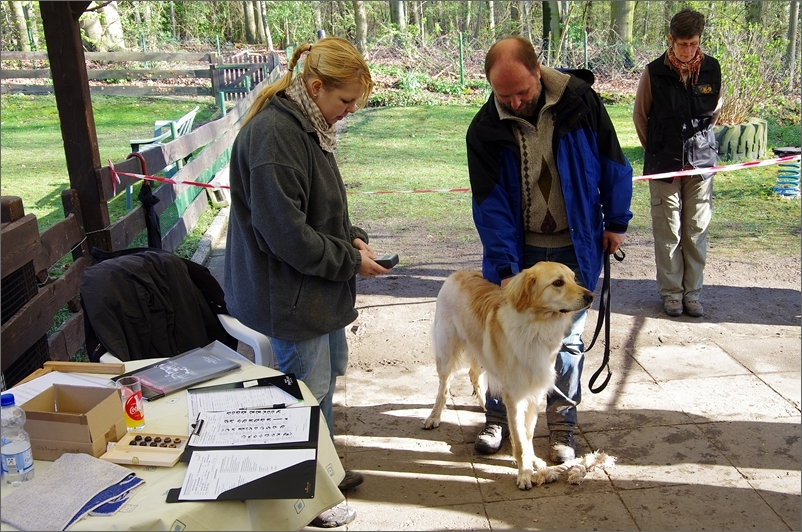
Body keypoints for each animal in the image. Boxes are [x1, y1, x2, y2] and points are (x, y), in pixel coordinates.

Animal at [422, 262, 592, 490]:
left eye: (574, 279)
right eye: (558, 283)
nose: (591, 296)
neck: (536, 327)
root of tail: (458, 273)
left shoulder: (535, 394)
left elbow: (527, 435)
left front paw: (533, 462)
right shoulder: (515, 397)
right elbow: (519, 440)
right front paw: (524, 474)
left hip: (481, 354)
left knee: (473, 374)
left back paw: (484, 405)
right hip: (447, 352)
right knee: (444, 387)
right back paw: (434, 417)